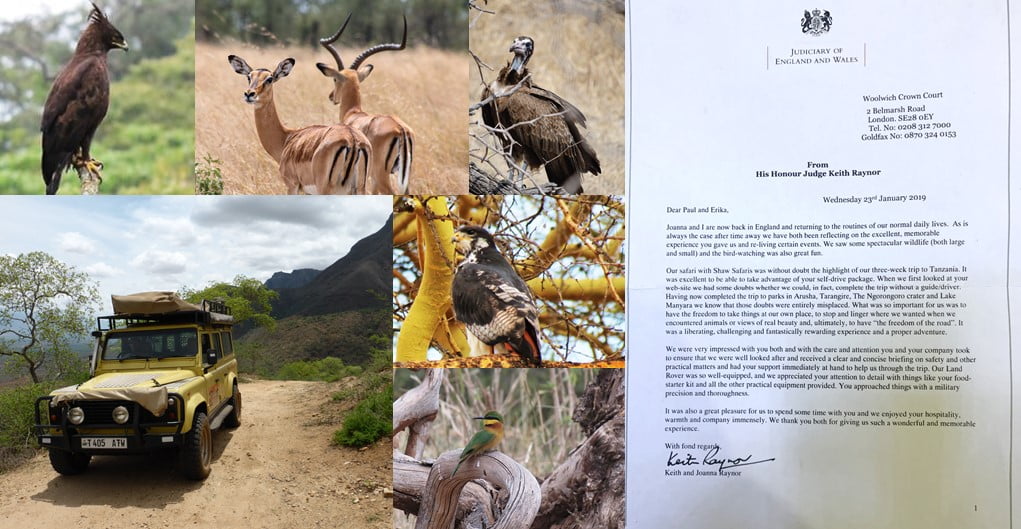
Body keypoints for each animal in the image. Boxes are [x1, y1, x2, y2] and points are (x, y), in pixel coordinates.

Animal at [228, 55, 371, 194]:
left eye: (269, 79)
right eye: (249, 76)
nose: (249, 94)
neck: (287, 138)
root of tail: (352, 140)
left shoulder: (292, 185)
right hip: (359, 190)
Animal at [315, 14, 414, 195]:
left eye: (334, 79)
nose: (331, 96)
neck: (354, 113)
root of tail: (401, 129)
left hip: (381, 175)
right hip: (404, 176)